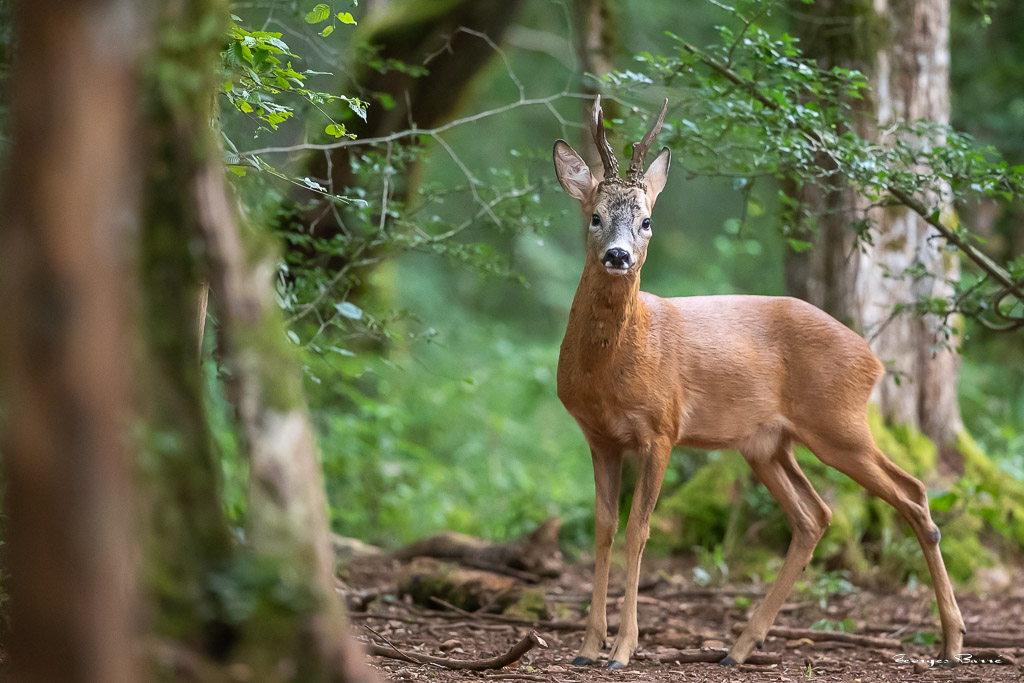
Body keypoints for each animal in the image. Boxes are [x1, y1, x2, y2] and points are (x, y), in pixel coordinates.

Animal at [552, 96, 958, 667]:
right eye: (595, 216)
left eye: (648, 219)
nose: (618, 256)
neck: (613, 367)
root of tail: (873, 358)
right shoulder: (599, 436)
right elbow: (604, 529)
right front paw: (588, 647)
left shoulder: (661, 428)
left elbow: (639, 529)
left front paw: (623, 649)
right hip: (766, 443)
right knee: (815, 516)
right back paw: (740, 647)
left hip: (838, 424)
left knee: (914, 493)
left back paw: (953, 640)